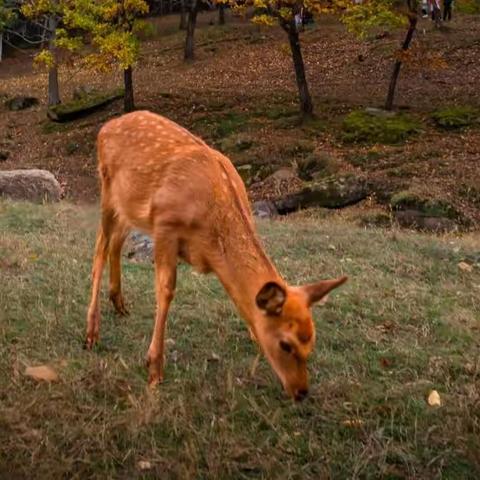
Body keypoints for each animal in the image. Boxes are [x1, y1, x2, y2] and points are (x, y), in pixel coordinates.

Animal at [86, 111, 346, 402]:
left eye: (311, 341)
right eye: (285, 344)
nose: (301, 391)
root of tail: (106, 126)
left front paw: (252, 333)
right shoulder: (165, 225)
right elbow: (165, 291)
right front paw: (154, 369)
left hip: (129, 207)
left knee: (115, 243)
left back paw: (119, 303)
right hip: (108, 190)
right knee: (100, 247)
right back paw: (91, 332)